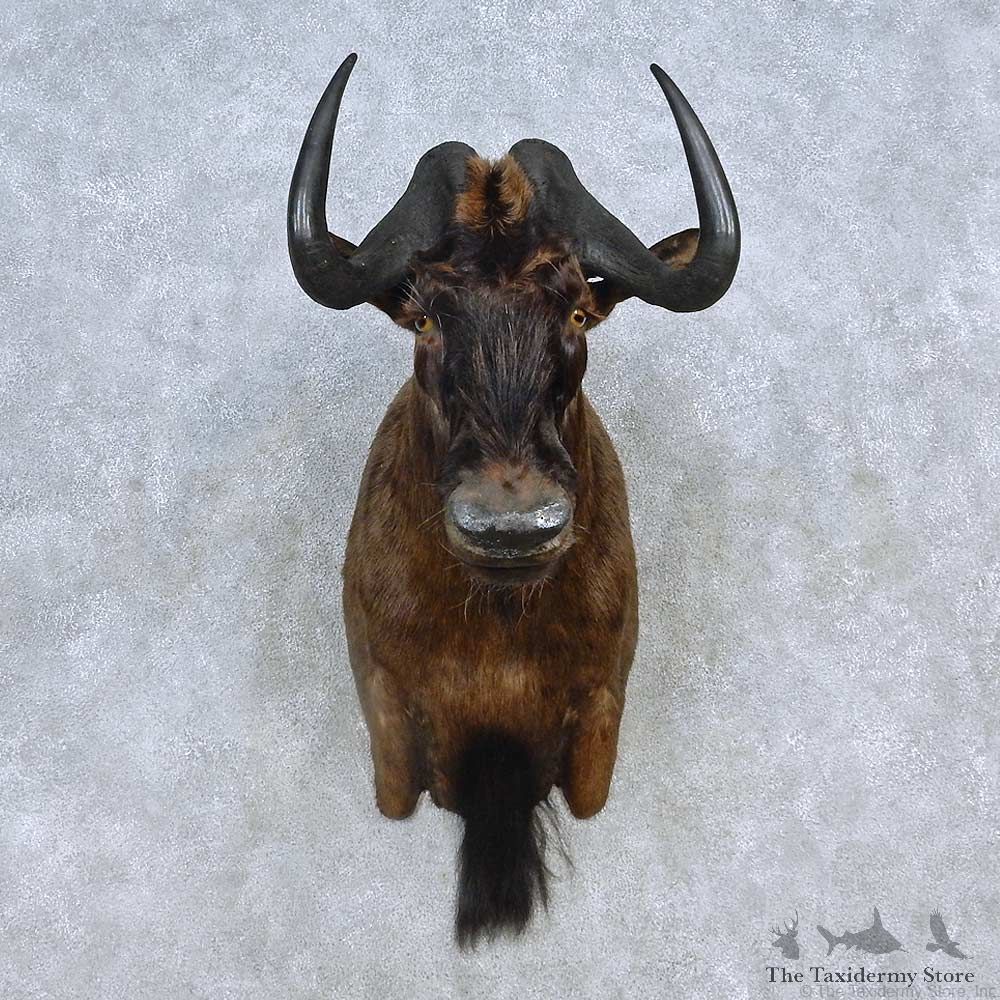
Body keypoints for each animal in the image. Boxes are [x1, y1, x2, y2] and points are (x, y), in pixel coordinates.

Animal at [287, 53, 740, 947]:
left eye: (578, 311)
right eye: (424, 318)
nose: (511, 528)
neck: (496, 634)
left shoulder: (601, 711)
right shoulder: (386, 716)